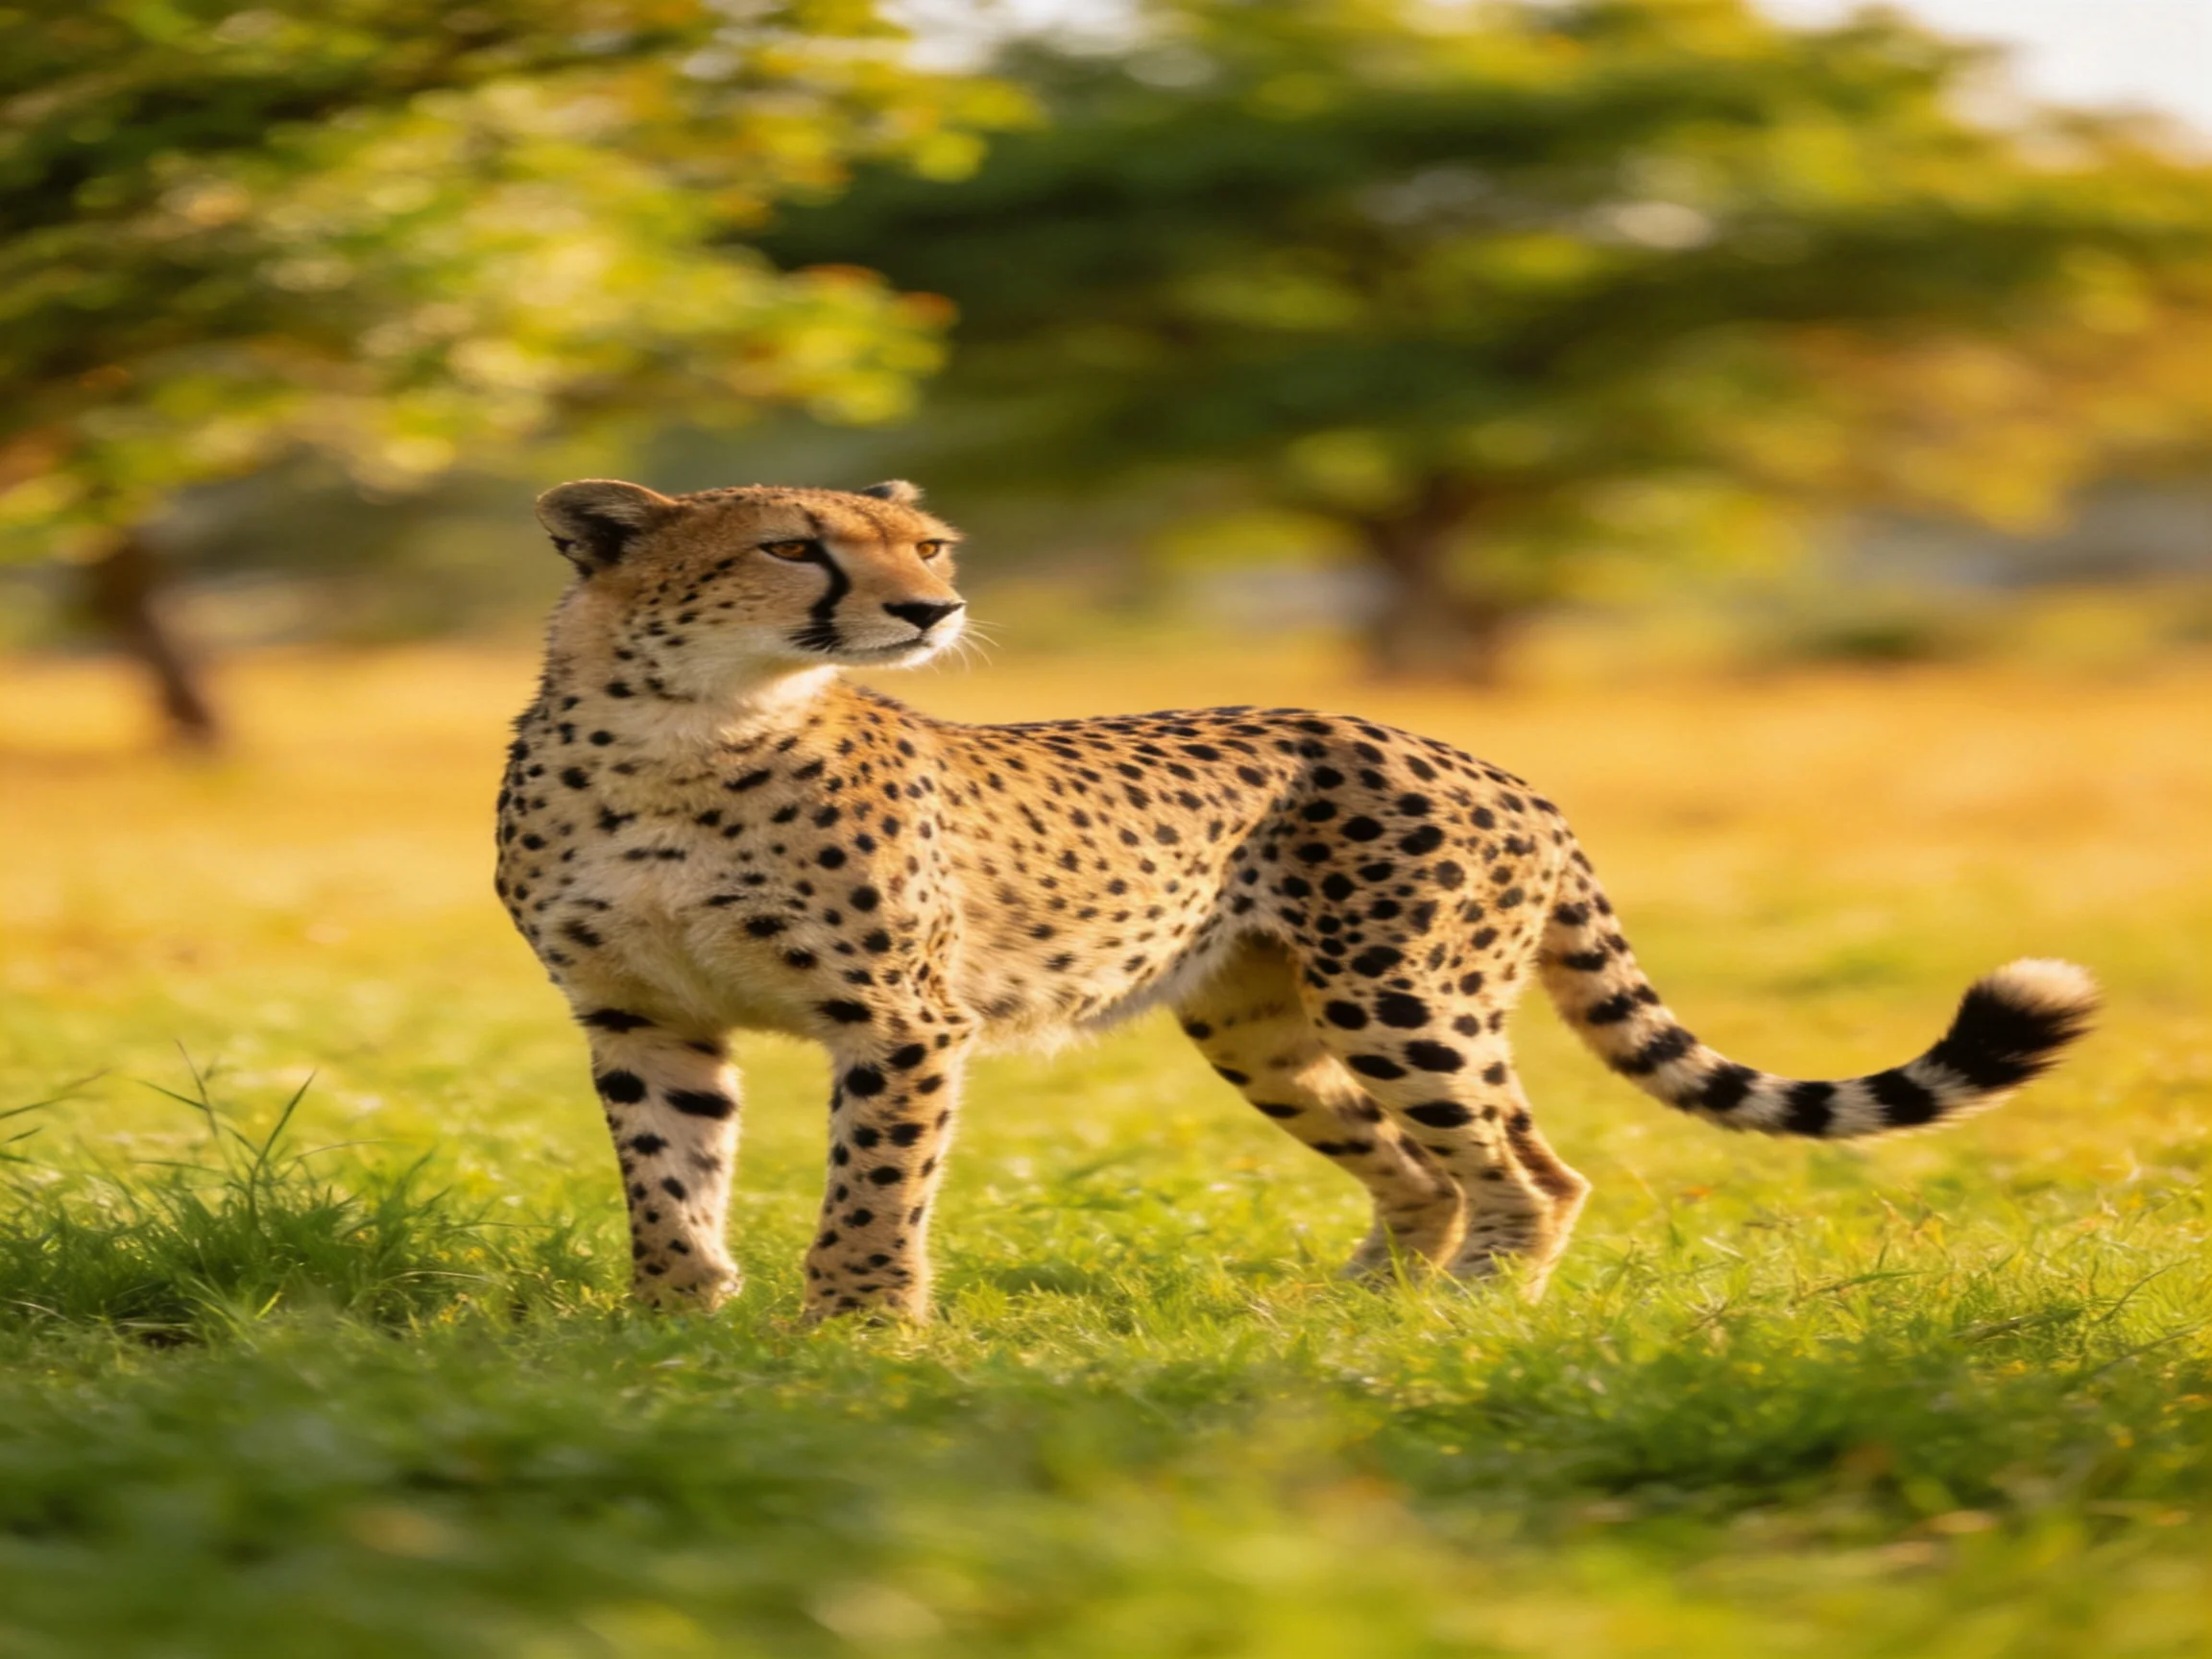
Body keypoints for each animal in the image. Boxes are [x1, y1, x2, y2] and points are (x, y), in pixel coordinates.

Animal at [495, 477, 2099, 1323]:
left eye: (927, 546)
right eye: (791, 547)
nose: (931, 610)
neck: (687, 730)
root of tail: (1491, 759)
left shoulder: (901, 1022)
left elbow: (875, 1183)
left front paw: (857, 1331)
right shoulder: (637, 1016)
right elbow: (667, 1178)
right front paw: (675, 1325)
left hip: (1407, 996)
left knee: (1526, 1168)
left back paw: (1472, 1325)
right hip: (1261, 1026)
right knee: (1423, 1171)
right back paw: (1362, 1312)